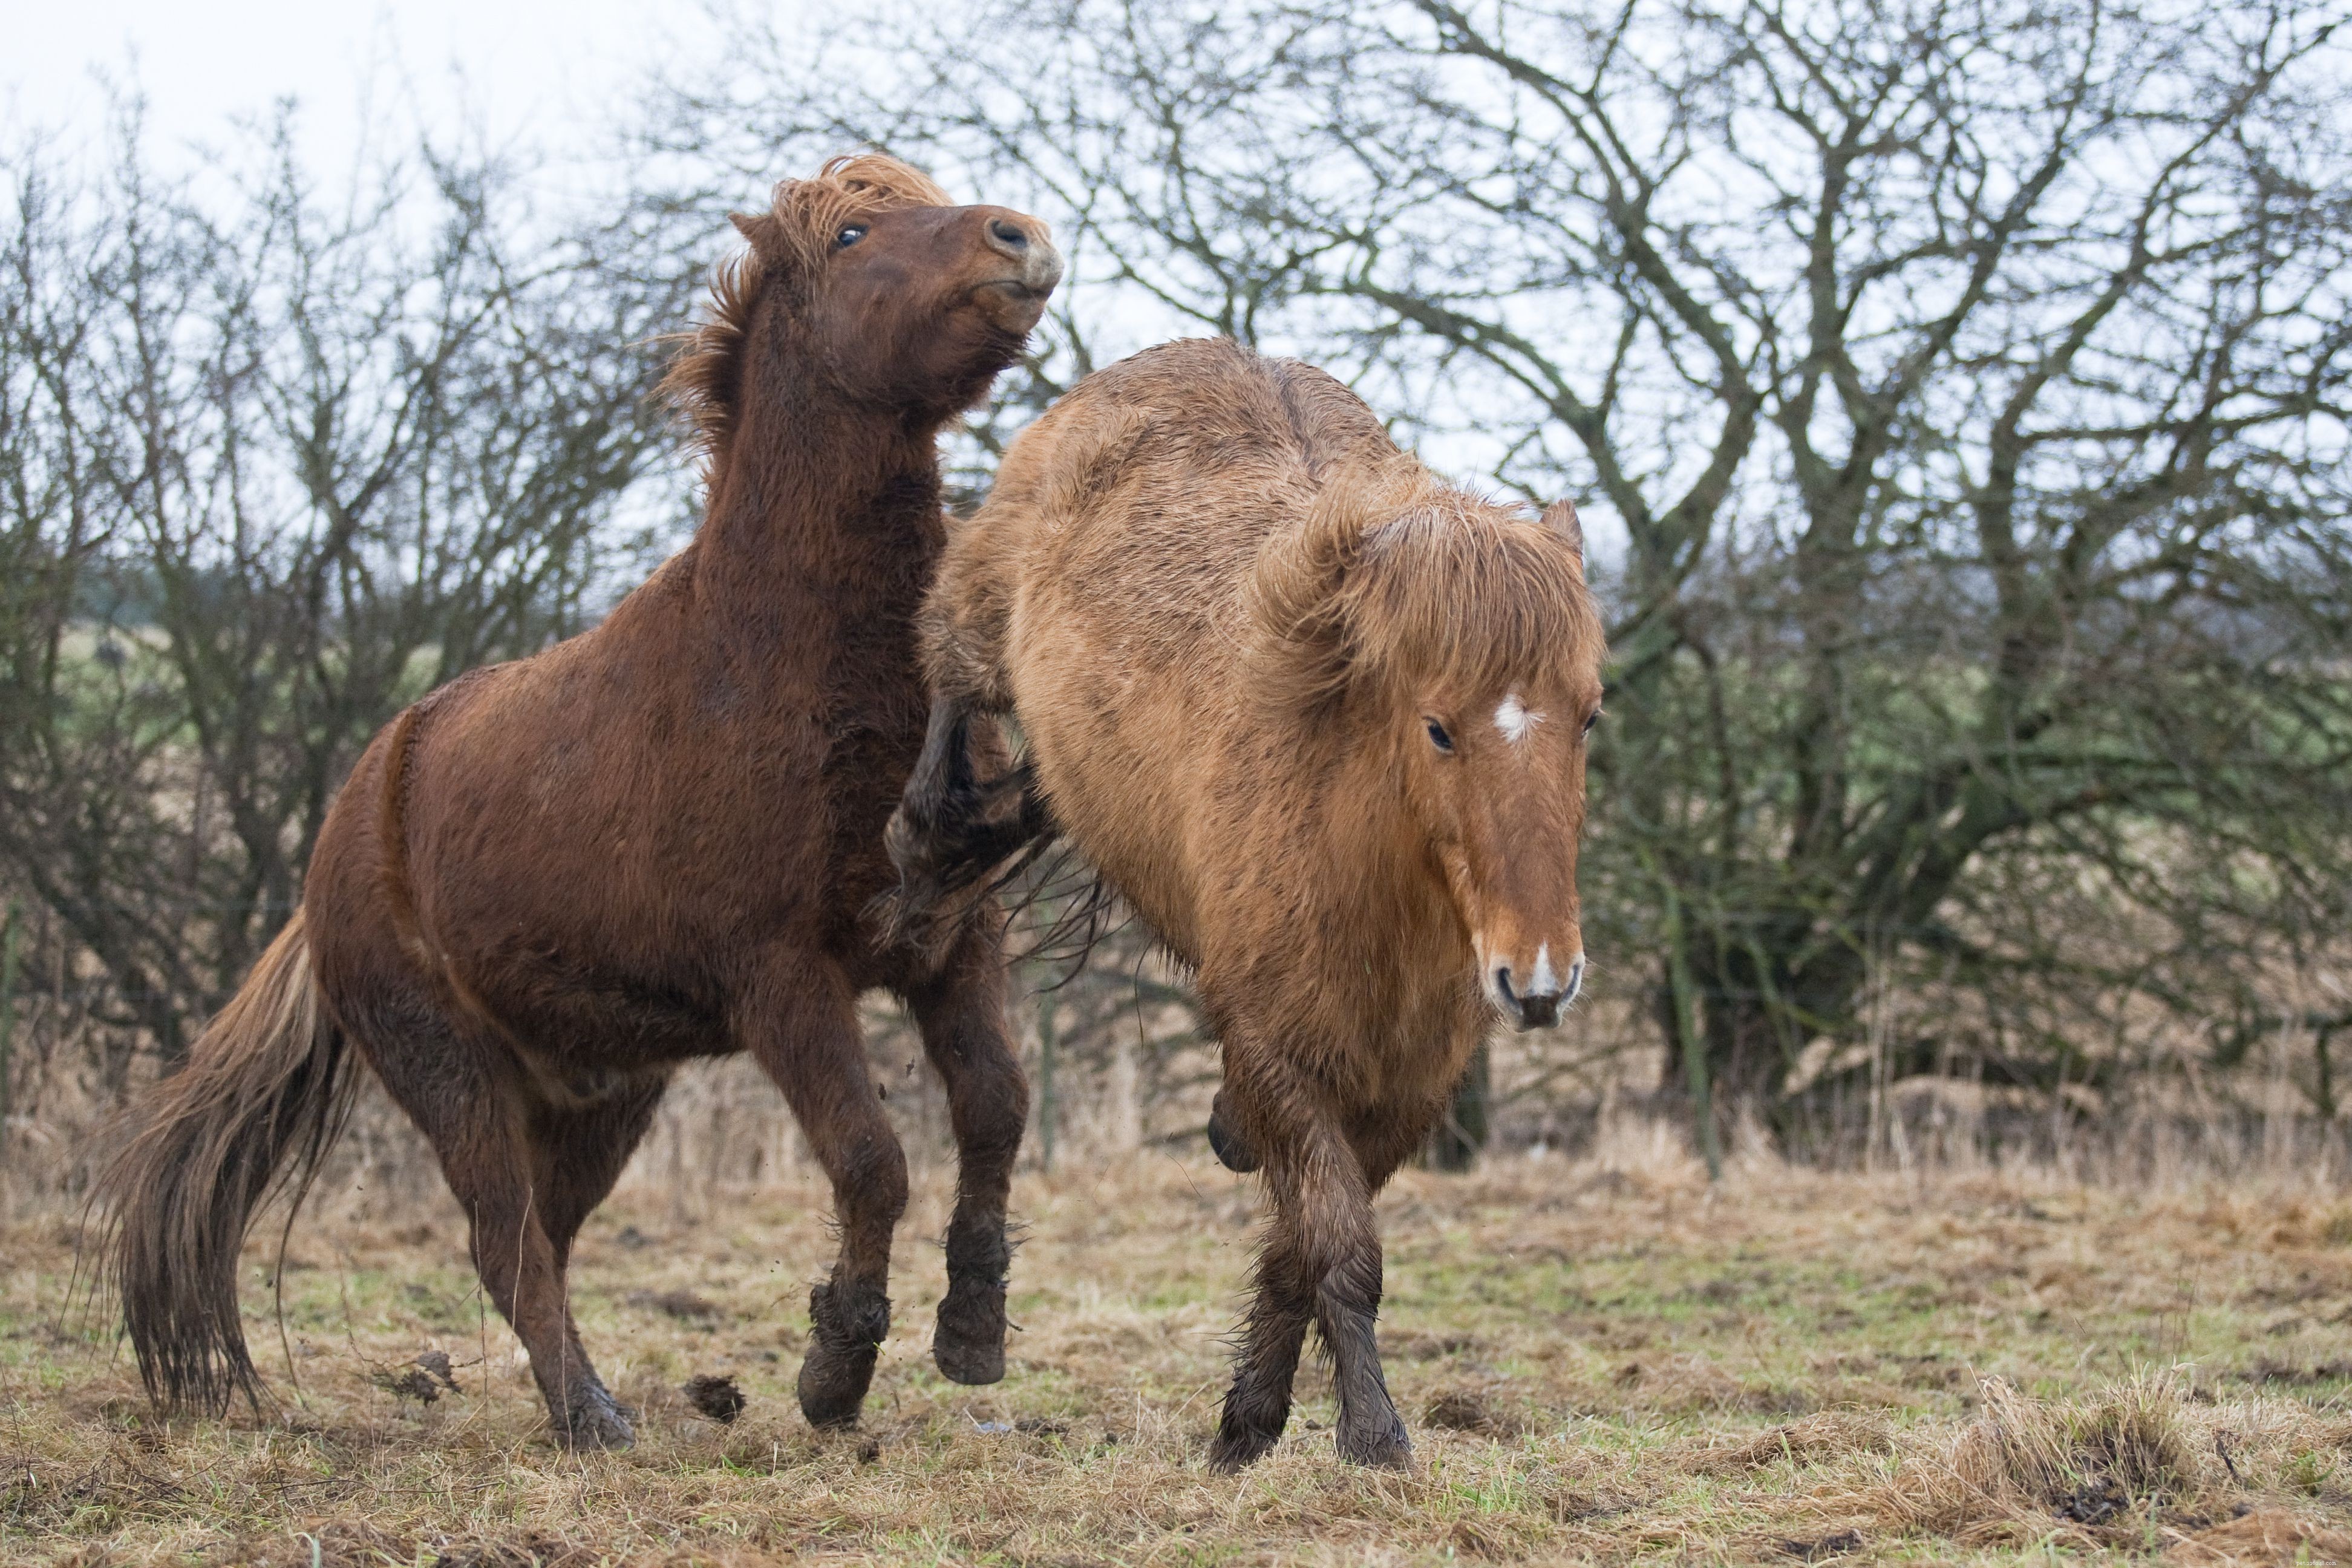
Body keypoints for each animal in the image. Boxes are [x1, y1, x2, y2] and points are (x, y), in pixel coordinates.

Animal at [91, 154, 1063, 1450]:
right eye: (854, 234)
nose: (1022, 237)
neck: (780, 659)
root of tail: (341, 839)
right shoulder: (783, 980)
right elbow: (870, 1158)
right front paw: (834, 1367)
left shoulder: (953, 939)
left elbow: (997, 1110)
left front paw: (971, 1328)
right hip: (449, 1072)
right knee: (503, 1235)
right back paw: (594, 1416)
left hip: (603, 1090)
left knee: (537, 1240)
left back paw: (570, 1402)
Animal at [888, 337, 1605, 1470]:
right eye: (1438, 728)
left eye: (1590, 715)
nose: (1538, 978)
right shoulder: (1275, 1046)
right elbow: (1340, 1247)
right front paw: (1372, 1434)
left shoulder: (1404, 1085)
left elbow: (1299, 1249)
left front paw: (1249, 1418)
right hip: (980, 611)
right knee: (953, 692)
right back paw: (924, 858)